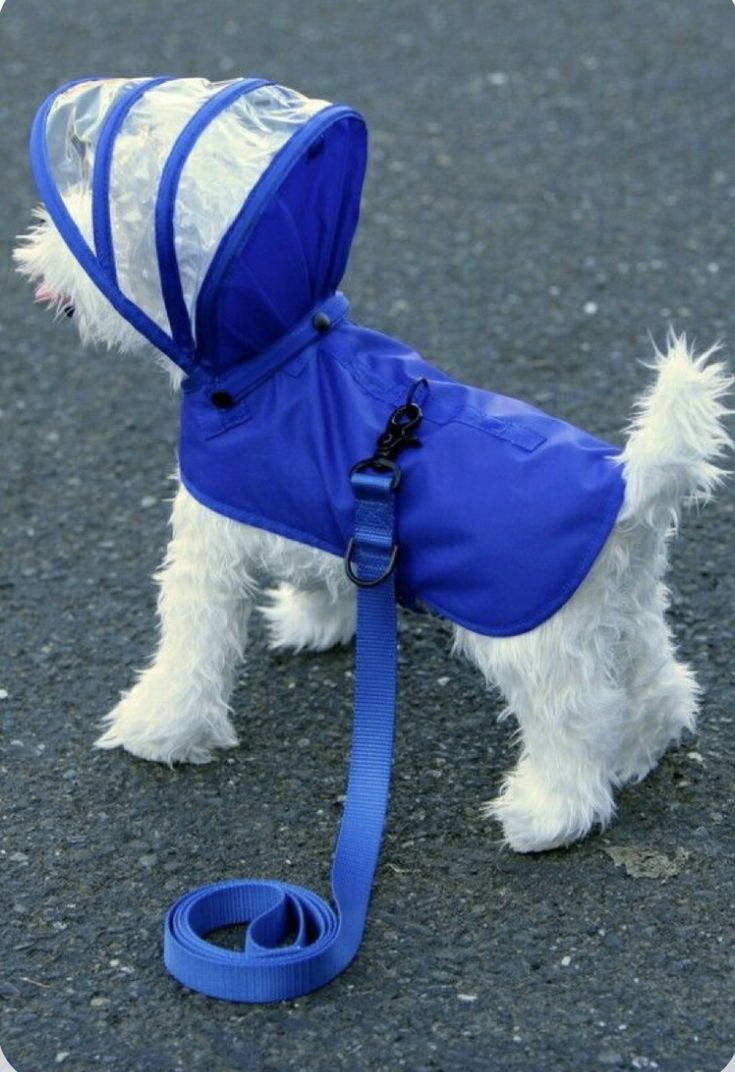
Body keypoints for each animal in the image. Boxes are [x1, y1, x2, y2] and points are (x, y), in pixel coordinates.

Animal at [14, 73, 732, 853]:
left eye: (106, 217)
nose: (32, 257)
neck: (275, 356)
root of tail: (628, 487)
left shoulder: (206, 547)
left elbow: (189, 646)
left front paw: (159, 728)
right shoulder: (325, 518)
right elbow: (321, 575)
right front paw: (314, 621)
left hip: (533, 641)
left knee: (575, 725)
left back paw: (547, 815)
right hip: (623, 610)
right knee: (660, 686)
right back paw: (639, 750)